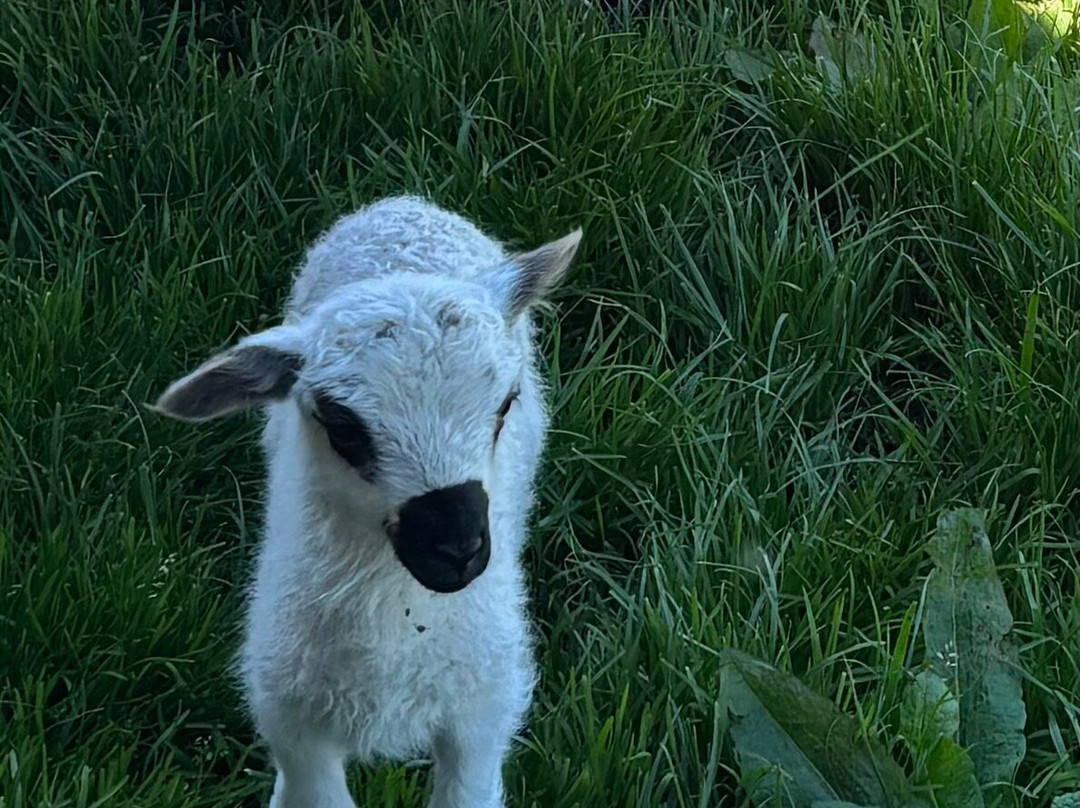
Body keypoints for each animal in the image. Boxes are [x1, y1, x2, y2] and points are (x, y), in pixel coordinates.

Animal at [150, 195, 582, 808]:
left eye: (506, 405)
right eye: (342, 427)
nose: (457, 549)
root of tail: (403, 206)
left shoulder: (481, 718)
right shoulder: (295, 726)